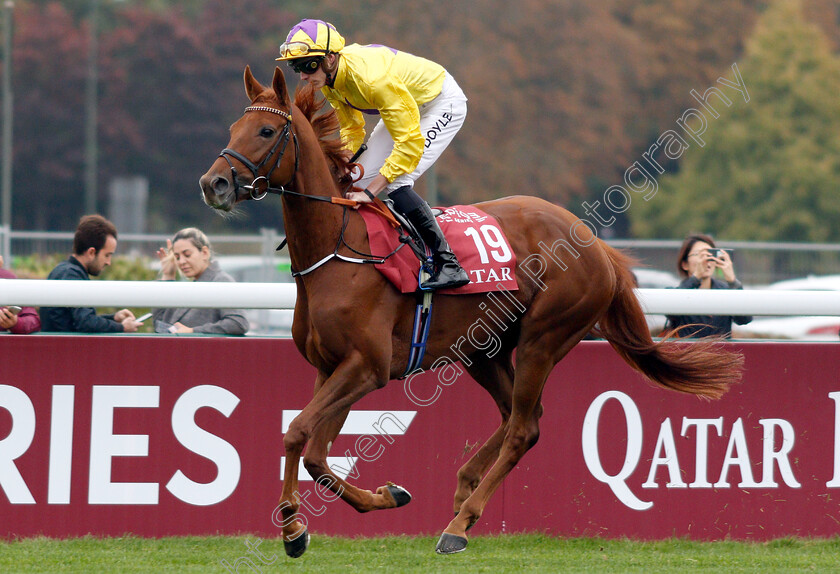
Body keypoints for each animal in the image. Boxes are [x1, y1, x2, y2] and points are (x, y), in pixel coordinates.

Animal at [200, 67, 744, 560]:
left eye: (266, 131)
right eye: (233, 127)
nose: (214, 183)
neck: (339, 247)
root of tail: (595, 244)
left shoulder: (367, 368)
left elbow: (296, 433)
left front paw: (293, 527)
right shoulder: (331, 367)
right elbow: (315, 451)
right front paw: (381, 497)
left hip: (545, 337)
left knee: (524, 427)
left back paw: (459, 525)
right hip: (484, 348)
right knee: (520, 416)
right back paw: (463, 489)